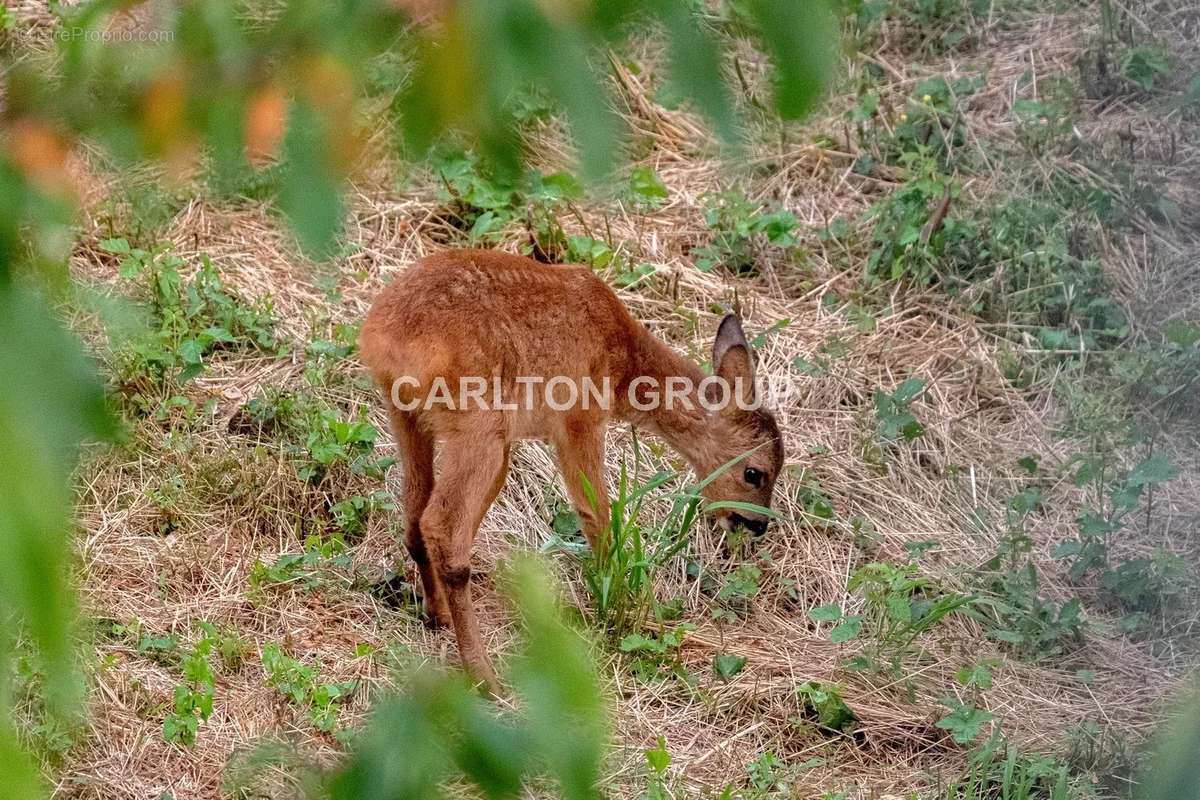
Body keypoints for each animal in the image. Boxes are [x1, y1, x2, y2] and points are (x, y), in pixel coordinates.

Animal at [355, 247, 787, 690]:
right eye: (755, 473)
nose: (757, 524)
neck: (622, 364)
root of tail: (385, 336)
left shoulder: (513, 441)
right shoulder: (580, 418)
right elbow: (596, 513)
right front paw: (616, 600)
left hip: (411, 418)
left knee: (416, 515)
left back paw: (437, 614)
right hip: (478, 423)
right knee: (442, 526)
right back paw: (485, 675)